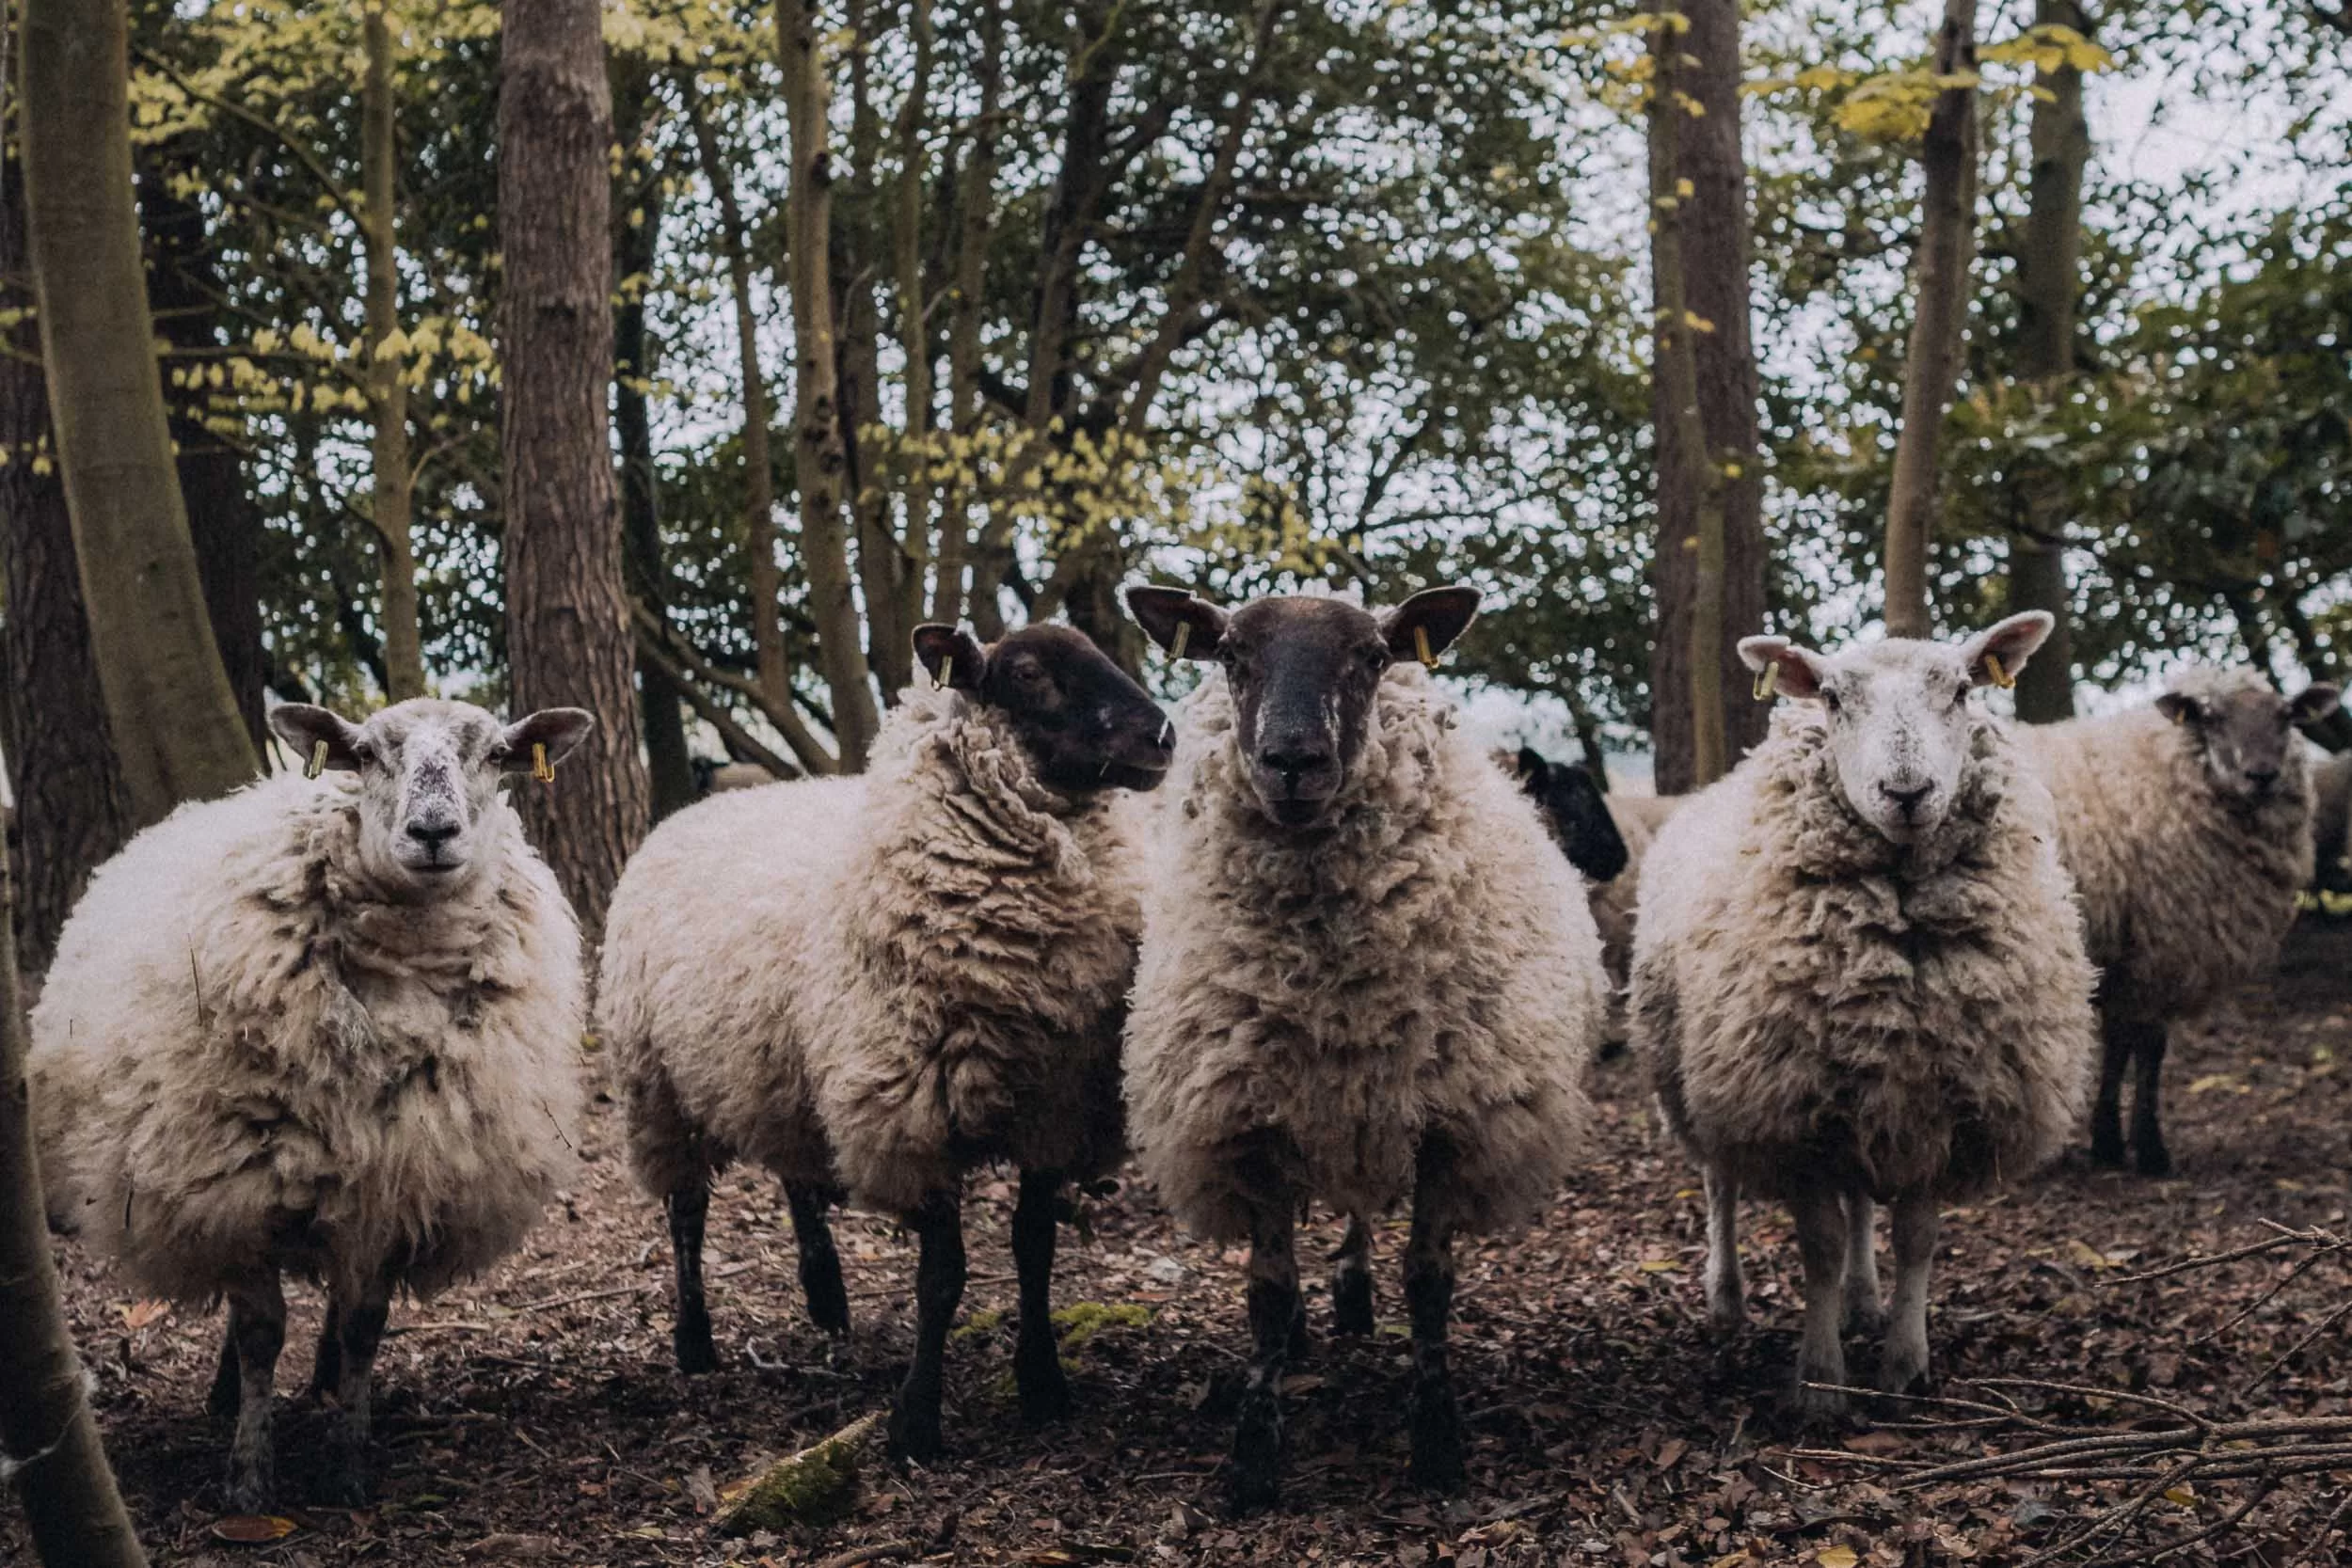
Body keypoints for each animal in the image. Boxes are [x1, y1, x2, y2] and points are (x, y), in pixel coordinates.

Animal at [30, 698, 594, 1510]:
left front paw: (349, 1459)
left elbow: (364, 1323)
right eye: (366, 755)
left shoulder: (401, 1183)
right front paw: (249, 1475)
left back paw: (324, 1378)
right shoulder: (233, 1186)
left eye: (494, 754)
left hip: (356, 1174)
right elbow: (261, 1334)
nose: (432, 831)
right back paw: (230, 1393)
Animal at [598, 622, 1174, 1461]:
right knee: (686, 1211)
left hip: (783, 1070)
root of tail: (702, 805)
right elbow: (945, 1276)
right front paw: (916, 1420)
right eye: (1028, 673)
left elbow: (1034, 1246)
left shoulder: (1055, 1106)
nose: (1164, 736)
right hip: (658, 1087)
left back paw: (826, 1296)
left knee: (797, 1178)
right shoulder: (911, 1112)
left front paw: (1042, 1381)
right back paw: (695, 1340)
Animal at [1123, 584, 1604, 1511]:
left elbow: (1429, 1282)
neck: (1330, 983)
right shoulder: (1251, 1119)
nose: (1292, 760)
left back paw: (1351, 1290)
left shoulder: (1450, 1120)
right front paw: (1253, 1451)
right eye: (1230, 654)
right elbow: (1266, 1289)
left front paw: (1437, 1438)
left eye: (1373, 657)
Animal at [1631, 614, 2096, 1421]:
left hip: (1866, 1084)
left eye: (1964, 689)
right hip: (1707, 1081)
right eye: (1832, 697)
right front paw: (1820, 1380)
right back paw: (1728, 1299)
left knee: (1858, 1203)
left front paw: (1904, 1363)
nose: (1906, 791)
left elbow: (1914, 1237)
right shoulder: (1793, 1109)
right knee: (1720, 1183)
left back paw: (1863, 1299)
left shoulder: (1938, 1104)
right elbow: (1815, 1244)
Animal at [2013, 667, 2340, 1175]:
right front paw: (2148, 1150)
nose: (2261, 775)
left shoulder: (2126, 958)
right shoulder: (2160, 948)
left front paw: (2108, 1144)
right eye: (2212, 717)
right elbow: (2149, 1047)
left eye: (2287, 716)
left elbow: (2119, 1044)